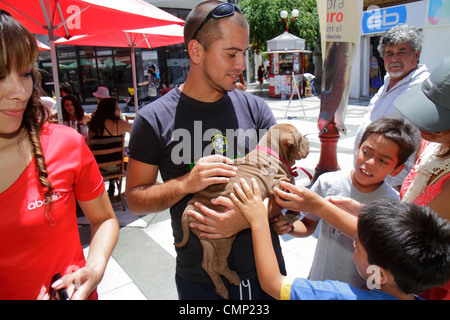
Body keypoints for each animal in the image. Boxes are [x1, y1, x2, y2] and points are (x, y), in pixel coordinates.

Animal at [173, 123, 310, 300]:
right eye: (300, 139)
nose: (308, 141)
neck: (272, 150)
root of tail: (189, 208)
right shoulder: (279, 184)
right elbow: (290, 191)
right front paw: (292, 214)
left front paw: (281, 219)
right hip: (223, 238)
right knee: (218, 265)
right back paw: (233, 278)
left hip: (207, 238)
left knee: (207, 265)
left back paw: (221, 289)